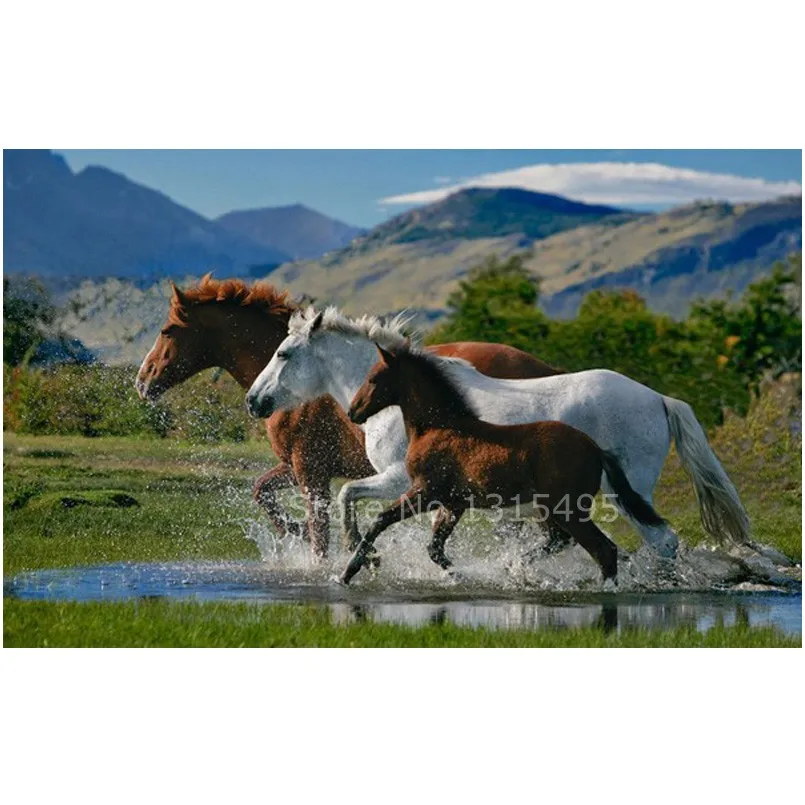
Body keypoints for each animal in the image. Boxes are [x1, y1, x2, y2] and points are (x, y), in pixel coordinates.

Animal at [136, 274, 561, 556]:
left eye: (168, 329)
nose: (142, 381)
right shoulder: (297, 467)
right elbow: (263, 492)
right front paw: (295, 531)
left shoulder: (310, 471)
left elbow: (319, 532)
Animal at [246, 306, 750, 557]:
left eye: (284, 353)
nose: (254, 400)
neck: (408, 401)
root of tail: (658, 398)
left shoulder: (400, 478)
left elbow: (348, 494)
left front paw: (363, 554)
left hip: (626, 492)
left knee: (660, 540)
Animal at [340, 343, 670, 584]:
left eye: (373, 378)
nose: (353, 412)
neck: (440, 426)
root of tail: (597, 450)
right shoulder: (454, 503)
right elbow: (434, 548)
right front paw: (461, 575)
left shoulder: (425, 491)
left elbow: (380, 521)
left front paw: (348, 571)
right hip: (554, 509)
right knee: (569, 541)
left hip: (568, 508)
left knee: (605, 548)